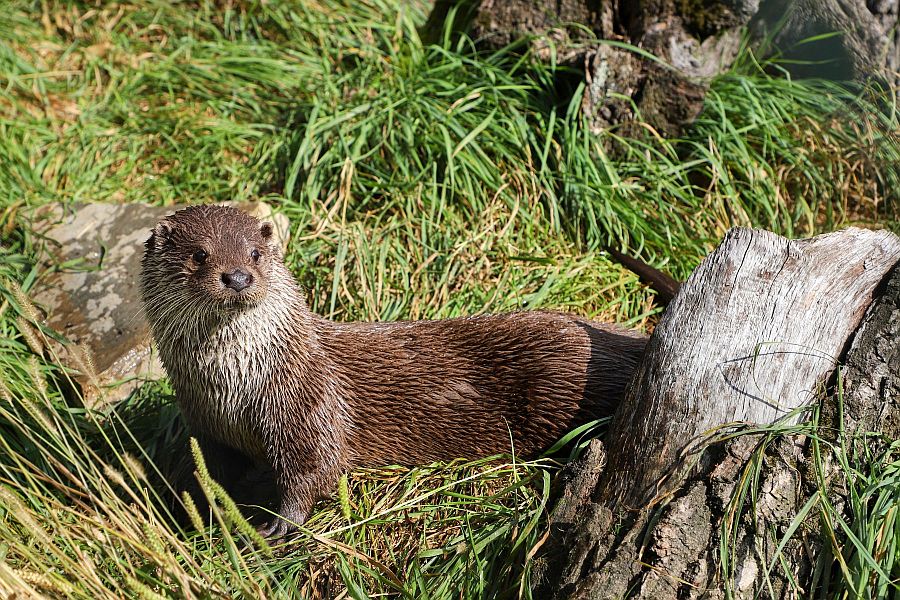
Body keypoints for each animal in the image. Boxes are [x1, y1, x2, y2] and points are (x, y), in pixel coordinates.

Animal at [139, 204, 648, 536]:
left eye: (255, 255)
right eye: (200, 254)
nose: (238, 277)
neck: (236, 386)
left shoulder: (307, 404)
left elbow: (315, 469)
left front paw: (276, 524)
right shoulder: (205, 425)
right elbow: (210, 472)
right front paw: (201, 514)